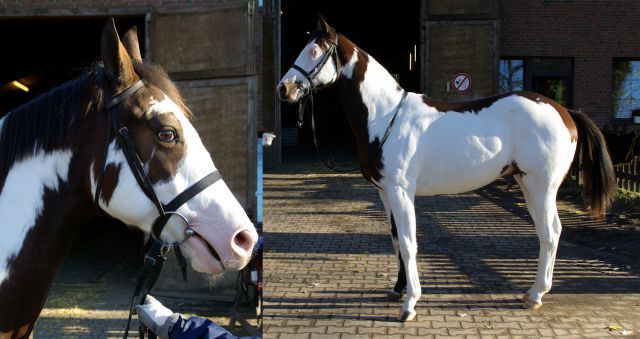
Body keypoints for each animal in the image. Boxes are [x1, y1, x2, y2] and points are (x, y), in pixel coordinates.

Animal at [278, 17, 616, 322]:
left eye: (314, 50)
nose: (285, 88)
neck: (386, 116)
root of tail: (565, 111)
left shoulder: (401, 192)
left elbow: (409, 243)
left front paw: (410, 304)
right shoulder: (385, 193)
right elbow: (395, 240)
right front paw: (398, 289)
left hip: (541, 187)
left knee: (550, 232)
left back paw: (535, 295)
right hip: (527, 184)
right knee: (547, 233)